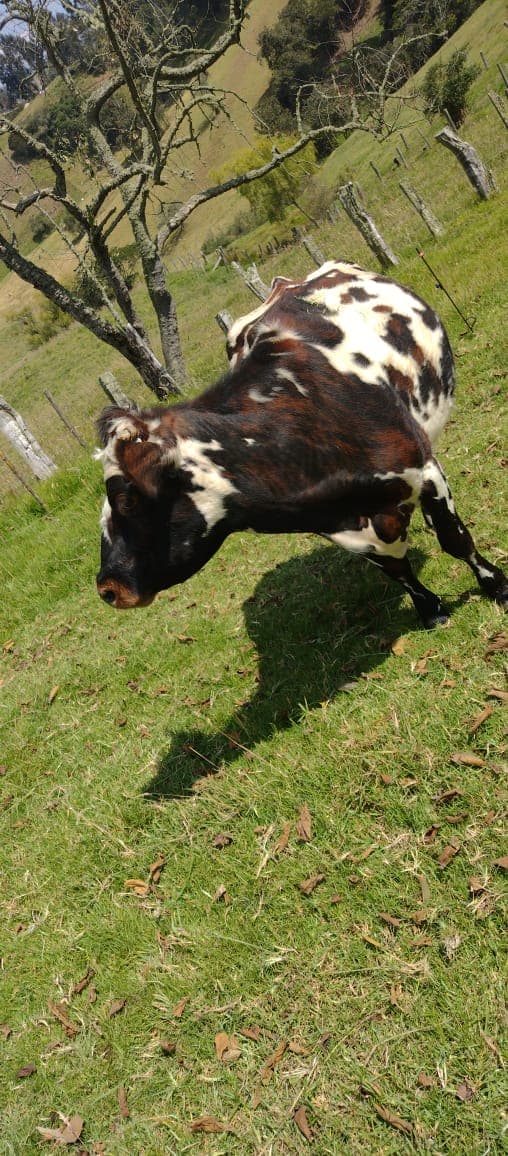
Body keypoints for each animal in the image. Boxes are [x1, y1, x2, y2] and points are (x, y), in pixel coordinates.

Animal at [96, 260, 507, 628]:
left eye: (126, 499)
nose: (107, 588)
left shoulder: (423, 468)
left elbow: (454, 538)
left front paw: (497, 586)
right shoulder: (343, 527)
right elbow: (394, 565)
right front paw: (429, 608)